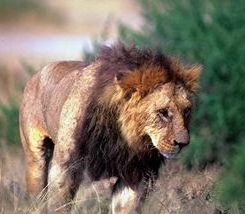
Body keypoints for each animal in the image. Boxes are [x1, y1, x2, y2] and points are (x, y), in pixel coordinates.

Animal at [19, 43, 201, 212]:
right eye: (163, 112)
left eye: (187, 110)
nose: (183, 143)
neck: (121, 135)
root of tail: (36, 74)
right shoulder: (66, 166)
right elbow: (60, 206)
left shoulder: (135, 174)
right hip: (36, 157)